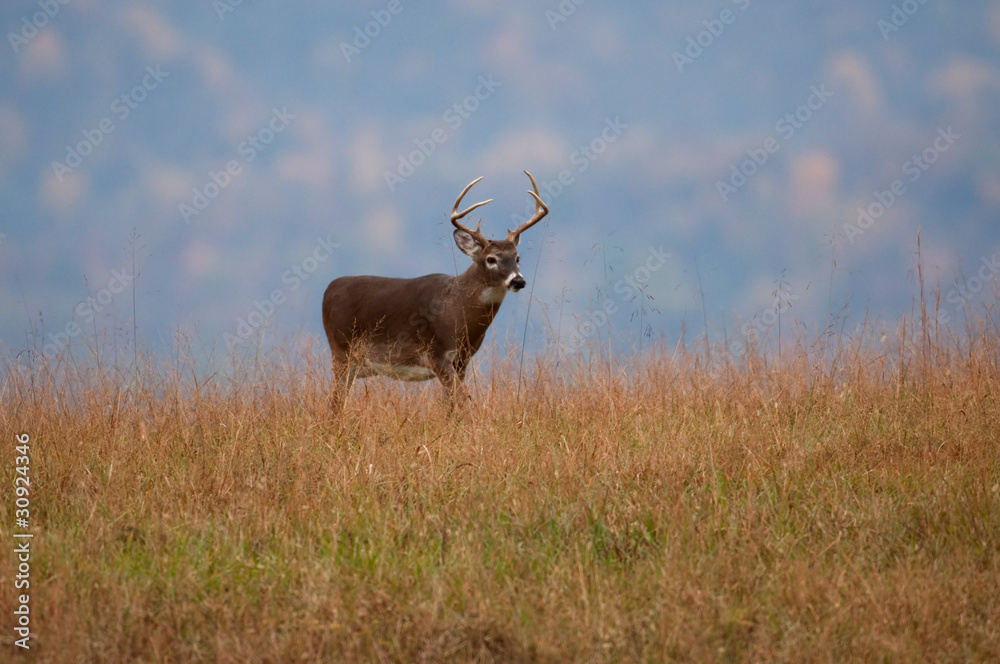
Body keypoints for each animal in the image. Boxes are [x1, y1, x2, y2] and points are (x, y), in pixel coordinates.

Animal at [321, 171, 548, 412]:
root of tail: (329, 289)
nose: (518, 281)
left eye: (517, 257)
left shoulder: (462, 361)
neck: (456, 311)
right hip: (341, 351)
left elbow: (451, 405)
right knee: (335, 401)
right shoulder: (436, 353)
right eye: (491, 259)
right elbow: (461, 401)